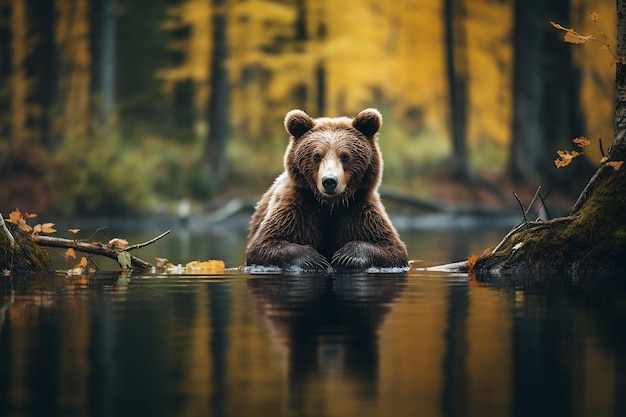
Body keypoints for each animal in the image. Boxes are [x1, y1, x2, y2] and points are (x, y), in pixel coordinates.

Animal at [244, 105, 410, 272]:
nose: (329, 181)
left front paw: (345, 255)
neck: (330, 205)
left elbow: (392, 248)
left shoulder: (359, 210)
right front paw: (315, 259)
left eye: (345, 156)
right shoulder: (296, 208)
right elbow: (264, 244)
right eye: (317, 156)